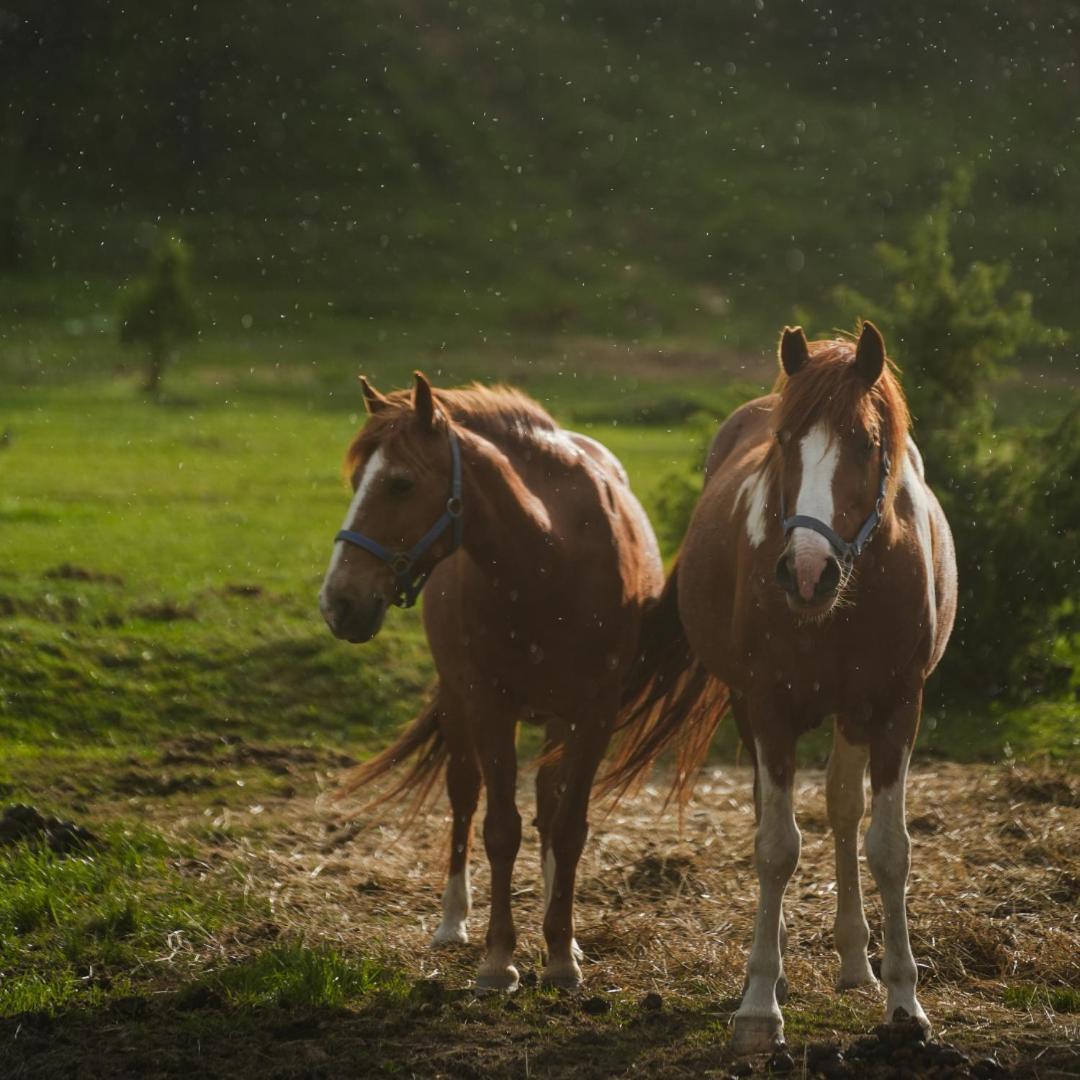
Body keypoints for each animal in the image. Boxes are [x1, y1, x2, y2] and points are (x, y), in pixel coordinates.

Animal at [315, 375, 660, 989]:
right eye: (357, 481)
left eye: (400, 483)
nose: (339, 603)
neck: (553, 555)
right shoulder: (489, 707)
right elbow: (500, 828)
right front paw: (499, 959)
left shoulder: (595, 713)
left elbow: (568, 827)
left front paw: (561, 952)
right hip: (459, 706)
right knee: (463, 796)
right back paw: (453, 921)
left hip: (557, 719)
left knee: (548, 804)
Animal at [604, 321, 959, 1054]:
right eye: (787, 443)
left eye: (866, 442)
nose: (806, 572)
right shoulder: (767, 707)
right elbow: (776, 848)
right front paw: (760, 1005)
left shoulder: (896, 709)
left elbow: (889, 849)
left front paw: (905, 1004)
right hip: (758, 711)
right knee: (773, 816)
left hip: (852, 715)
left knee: (844, 810)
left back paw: (855, 961)